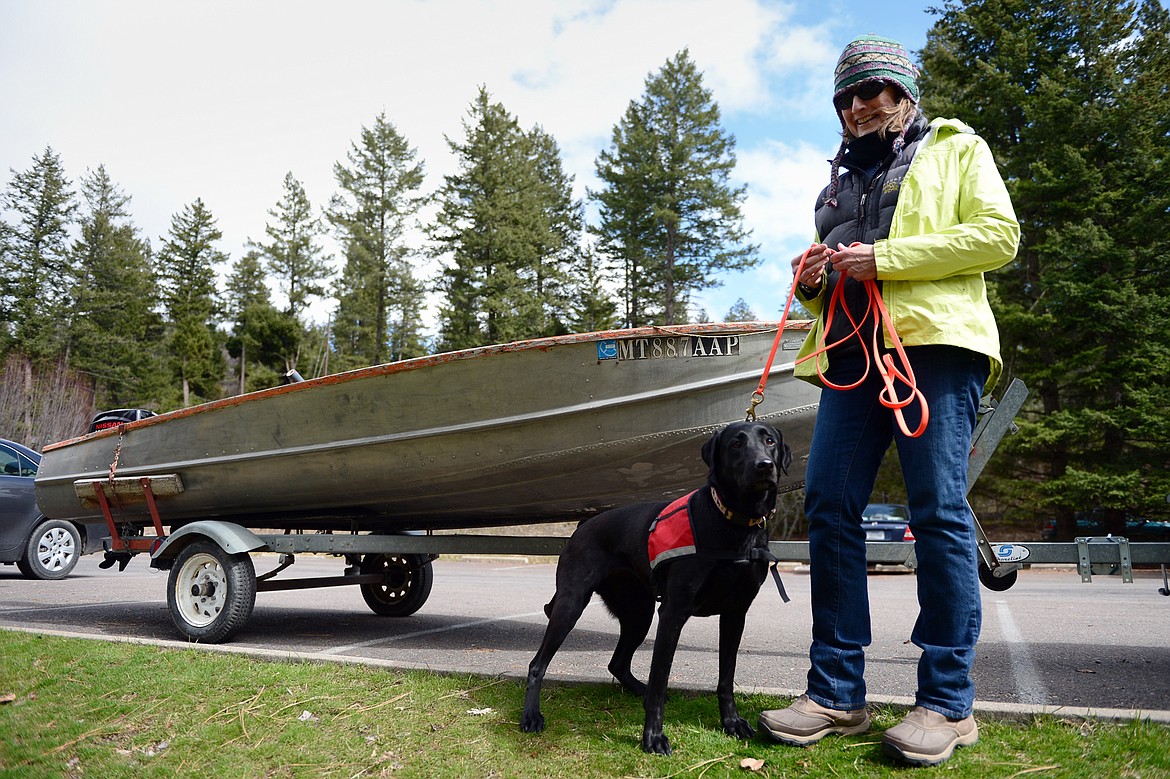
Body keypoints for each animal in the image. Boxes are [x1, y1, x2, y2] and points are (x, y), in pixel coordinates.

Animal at [521, 418, 795, 753]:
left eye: (770, 441)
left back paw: (638, 690)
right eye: (736, 444)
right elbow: (661, 676)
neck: (733, 523)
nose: (764, 466)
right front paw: (652, 737)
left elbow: (725, 677)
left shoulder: (735, 614)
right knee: (537, 664)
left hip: (639, 613)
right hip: (571, 605)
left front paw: (731, 722)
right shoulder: (673, 613)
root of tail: (583, 526)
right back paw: (531, 716)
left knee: (618, 663)